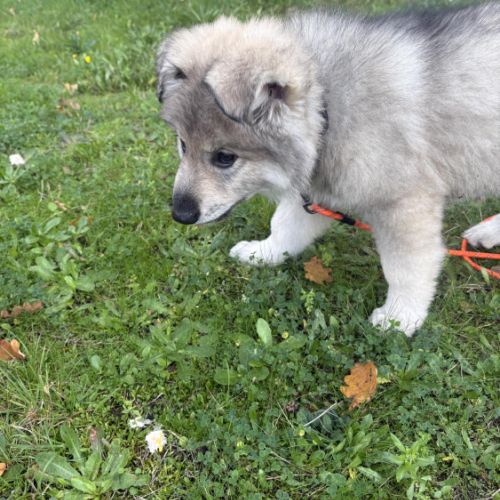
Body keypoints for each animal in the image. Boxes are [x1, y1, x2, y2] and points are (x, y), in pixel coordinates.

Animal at [156, 3, 500, 336]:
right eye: (182, 144)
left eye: (225, 157)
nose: (180, 215)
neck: (327, 108)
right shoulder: (313, 192)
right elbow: (284, 226)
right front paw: (263, 253)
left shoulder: (404, 204)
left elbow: (405, 268)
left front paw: (399, 318)